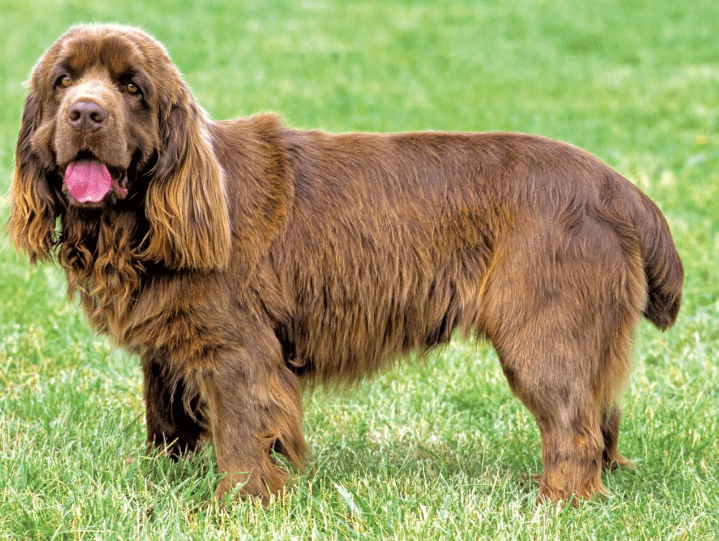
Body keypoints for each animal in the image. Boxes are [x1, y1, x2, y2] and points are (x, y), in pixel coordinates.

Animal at [7, 24, 688, 506]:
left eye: (132, 88)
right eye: (63, 82)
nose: (85, 113)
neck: (138, 221)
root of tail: (616, 185)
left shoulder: (238, 347)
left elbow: (242, 430)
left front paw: (237, 504)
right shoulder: (170, 346)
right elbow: (166, 417)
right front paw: (158, 479)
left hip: (542, 331)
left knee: (572, 426)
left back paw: (555, 502)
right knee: (600, 416)